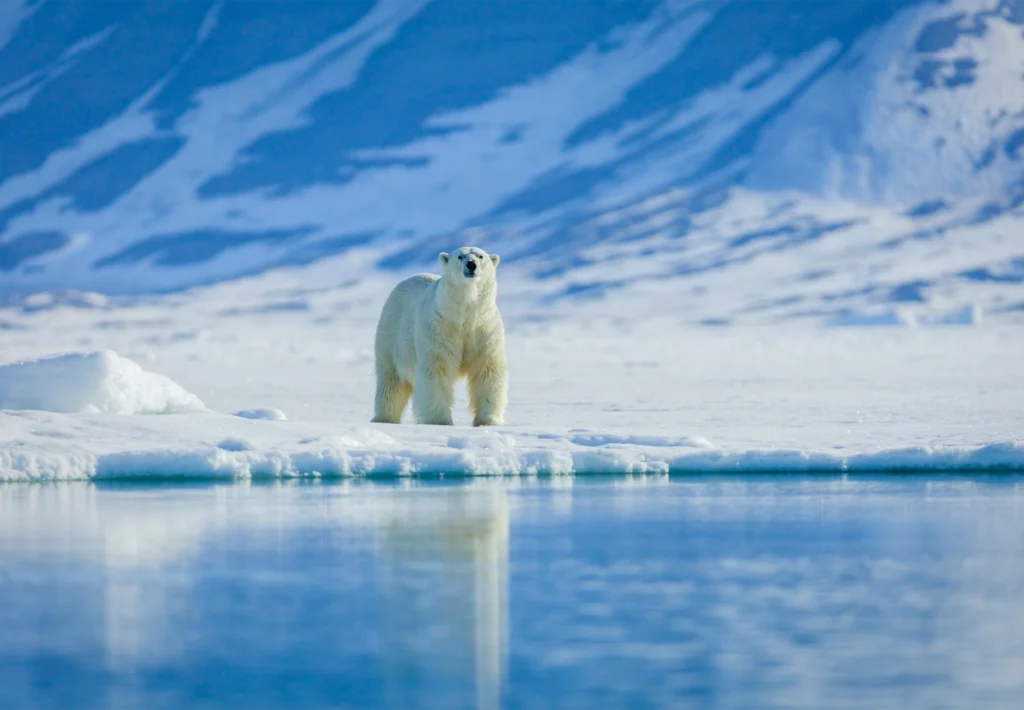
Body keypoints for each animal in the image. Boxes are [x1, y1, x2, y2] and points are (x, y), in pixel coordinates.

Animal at [372, 246, 508, 426]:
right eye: (460, 256)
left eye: (481, 256)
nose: (471, 264)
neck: (464, 316)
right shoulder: (440, 327)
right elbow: (436, 369)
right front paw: (439, 421)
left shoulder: (483, 328)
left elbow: (487, 369)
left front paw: (487, 420)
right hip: (391, 333)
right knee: (391, 381)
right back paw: (384, 418)